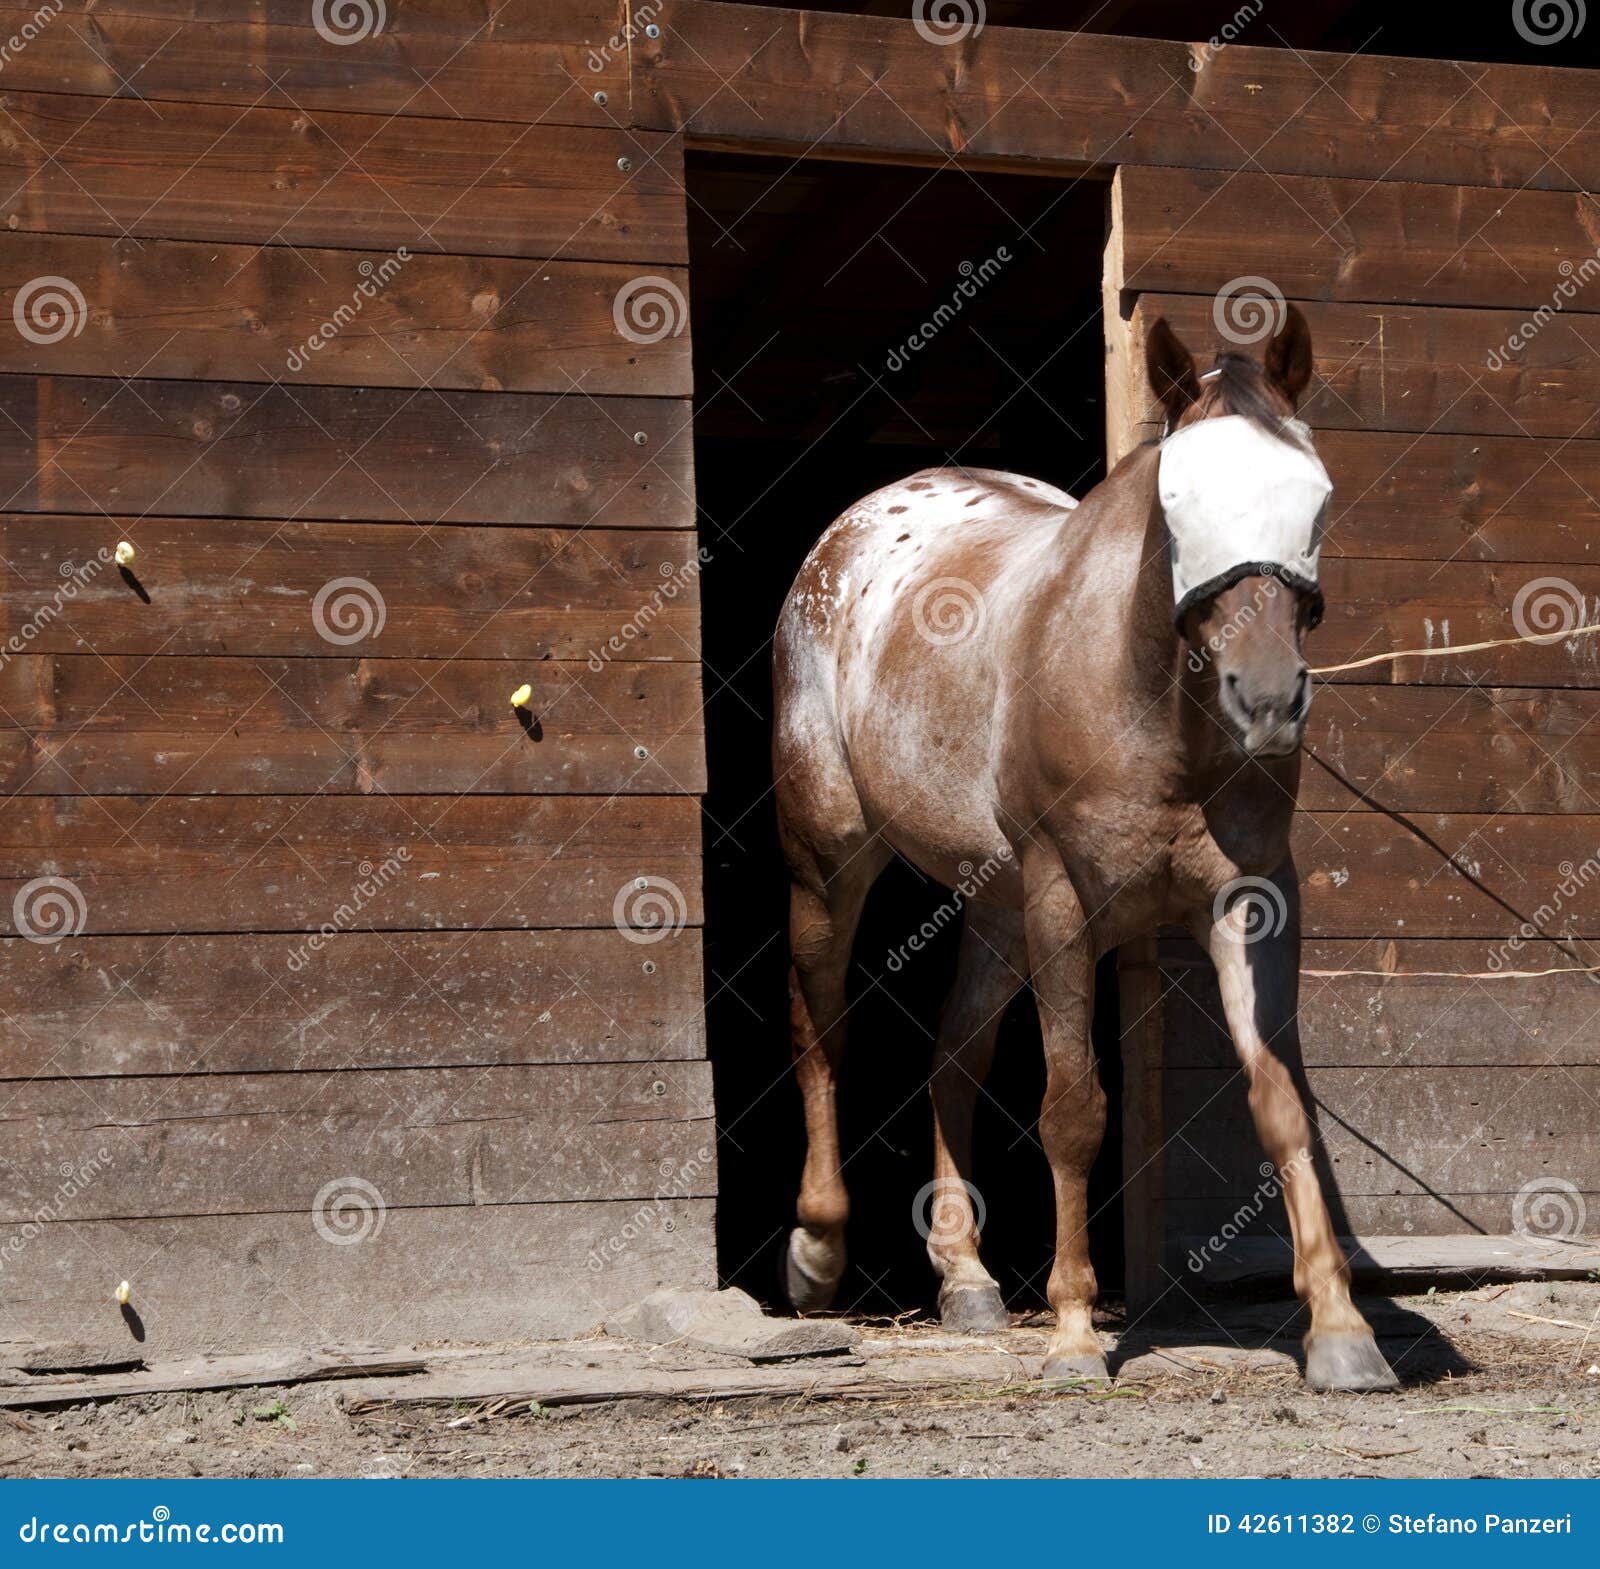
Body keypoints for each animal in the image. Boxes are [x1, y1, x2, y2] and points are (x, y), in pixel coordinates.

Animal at [769, 306, 1398, 1392]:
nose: (1268, 698)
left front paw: (1341, 1330)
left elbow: (1281, 1106)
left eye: (1313, 495)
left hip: (993, 906)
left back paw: (966, 1278)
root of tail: (851, 532)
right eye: (1177, 498)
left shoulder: (1250, 899)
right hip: (832, 863)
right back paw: (817, 1252)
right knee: (824, 1034)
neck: (1145, 700)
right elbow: (1073, 1108)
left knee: (954, 1059)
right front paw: (1070, 1332)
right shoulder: (1064, 895)